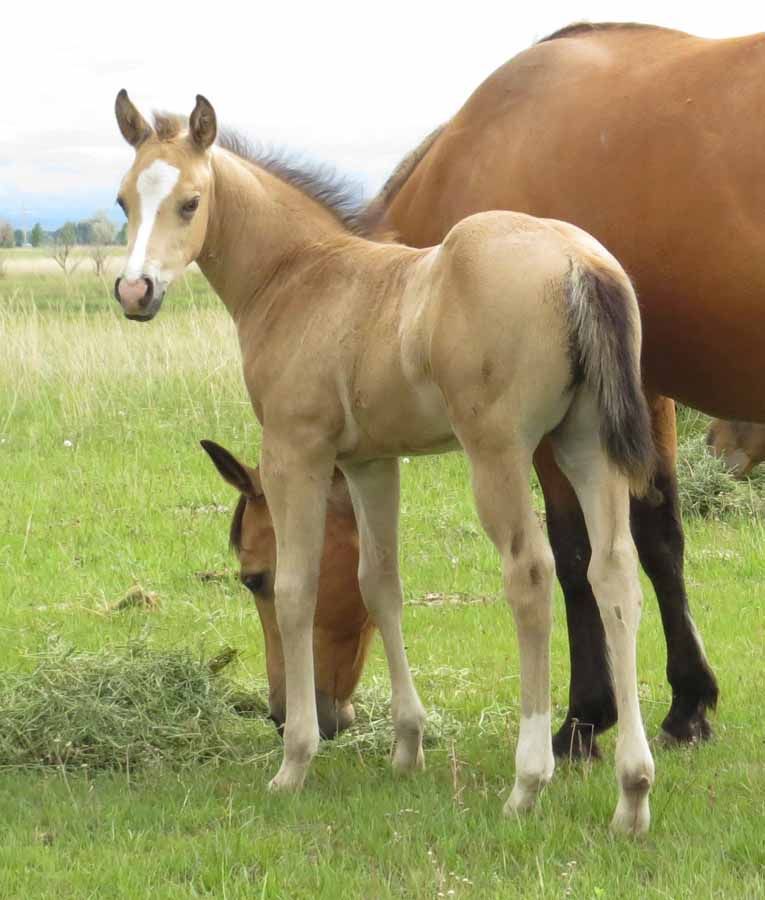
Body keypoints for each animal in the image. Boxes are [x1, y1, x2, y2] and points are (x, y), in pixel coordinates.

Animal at [357, 21, 765, 757]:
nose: (298, 715)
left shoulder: (549, 425)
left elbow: (574, 556)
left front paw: (584, 718)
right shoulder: (645, 390)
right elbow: (660, 538)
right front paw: (689, 702)